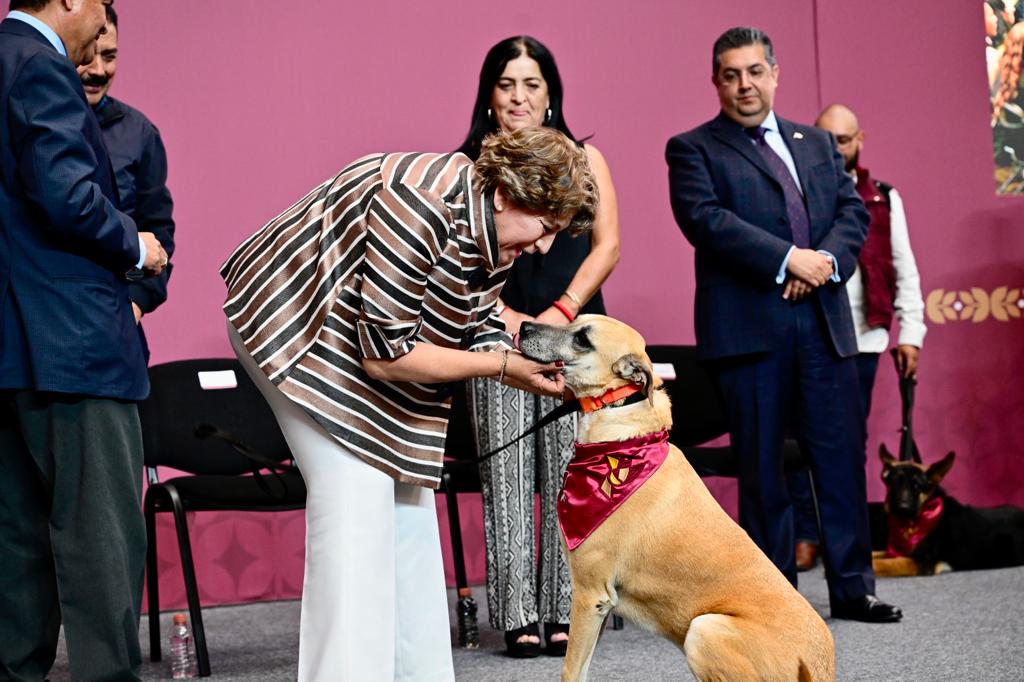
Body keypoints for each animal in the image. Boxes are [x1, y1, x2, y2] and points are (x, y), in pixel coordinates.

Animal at [516, 315, 835, 679]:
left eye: (582, 339)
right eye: (573, 321)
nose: (523, 326)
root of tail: (822, 669)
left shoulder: (589, 595)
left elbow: (571, 670)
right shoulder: (600, 606)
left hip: (703, 628)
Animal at [868, 444, 1024, 577]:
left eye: (917, 486)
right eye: (894, 484)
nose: (902, 508)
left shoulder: (921, 562)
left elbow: (881, 563)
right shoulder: (897, 552)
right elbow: (873, 554)